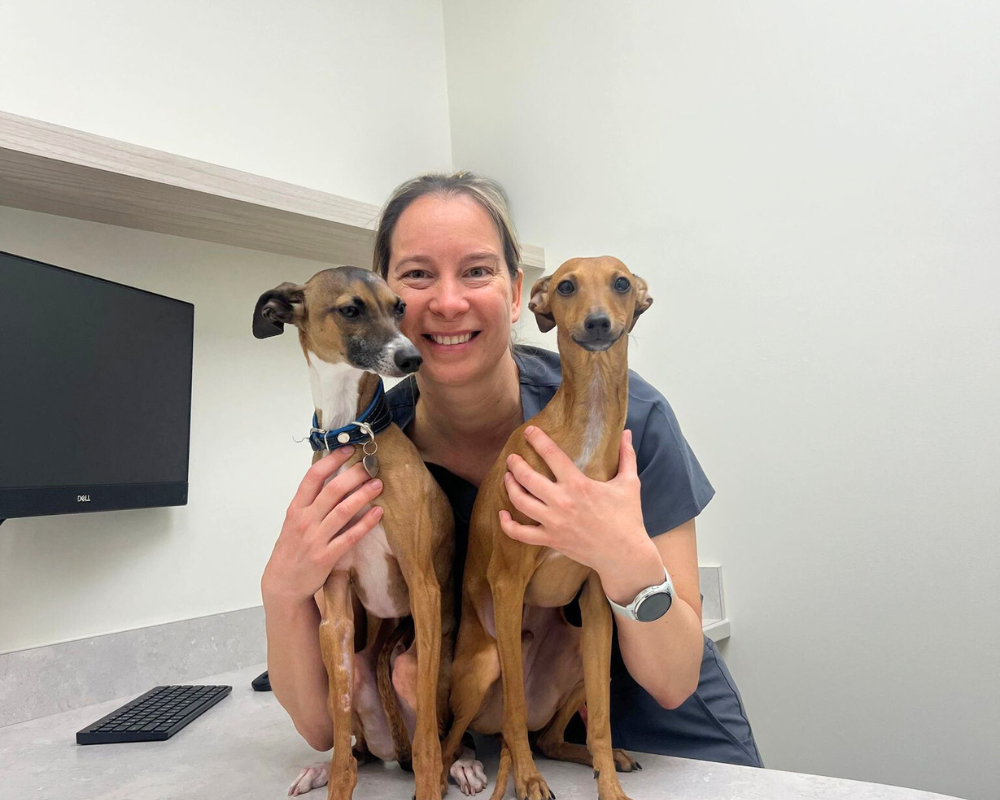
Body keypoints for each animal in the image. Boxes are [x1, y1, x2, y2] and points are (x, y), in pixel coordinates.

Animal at [254, 268, 480, 800]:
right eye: (351, 309)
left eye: (399, 307)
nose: (412, 358)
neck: (352, 436)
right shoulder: (335, 612)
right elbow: (339, 736)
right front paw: (335, 778)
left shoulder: (423, 586)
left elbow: (429, 742)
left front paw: (431, 781)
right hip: (355, 665)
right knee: (359, 747)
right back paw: (330, 766)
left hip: (412, 665)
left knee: (440, 734)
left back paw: (456, 764)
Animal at [442, 256, 652, 800]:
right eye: (566, 286)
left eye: (622, 283)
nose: (598, 323)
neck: (586, 430)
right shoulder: (508, 583)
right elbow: (516, 716)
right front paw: (529, 782)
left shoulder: (598, 604)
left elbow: (601, 723)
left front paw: (608, 785)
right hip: (488, 665)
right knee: (471, 735)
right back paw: (478, 767)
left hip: (585, 655)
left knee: (552, 738)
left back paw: (601, 758)